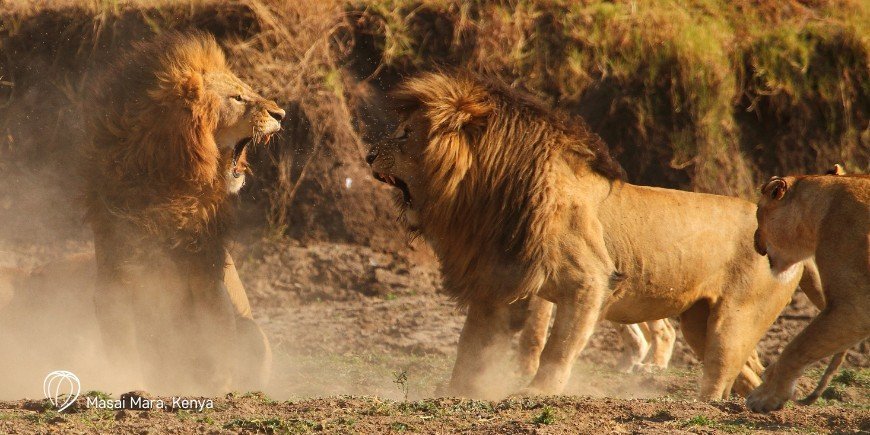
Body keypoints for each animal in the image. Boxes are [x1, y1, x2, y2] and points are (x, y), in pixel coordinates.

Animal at [82, 32, 282, 396]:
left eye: (247, 90)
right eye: (237, 98)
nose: (282, 113)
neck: (172, 187)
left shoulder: (206, 275)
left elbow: (214, 337)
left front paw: (214, 389)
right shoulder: (115, 279)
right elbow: (124, 347)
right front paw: (129, 382)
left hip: (253, 331)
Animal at [366, 72, 804, 402]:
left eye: (405, 134)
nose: (369, 155)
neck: (485, 196)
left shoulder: (589, 281)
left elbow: (558, 347)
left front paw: (536, 393)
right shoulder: (498, 282)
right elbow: (472, 344)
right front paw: (458, 391)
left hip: (734, 320)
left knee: (720, 371)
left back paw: (706, 406)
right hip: (701, 321)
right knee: (747, 371)